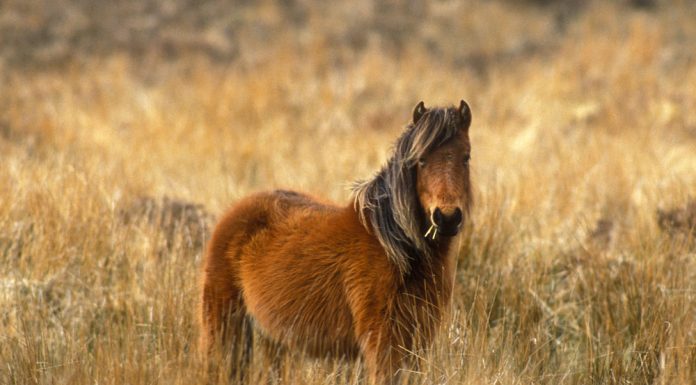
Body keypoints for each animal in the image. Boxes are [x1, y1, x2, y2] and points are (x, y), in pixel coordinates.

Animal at [200, 100, 474, 384]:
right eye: (421, 160)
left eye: (466, 157)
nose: (447, 218)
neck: (393, 248)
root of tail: (235, 212)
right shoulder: (383, 345)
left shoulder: (416, 344)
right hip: (223, 327)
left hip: (273, 339)